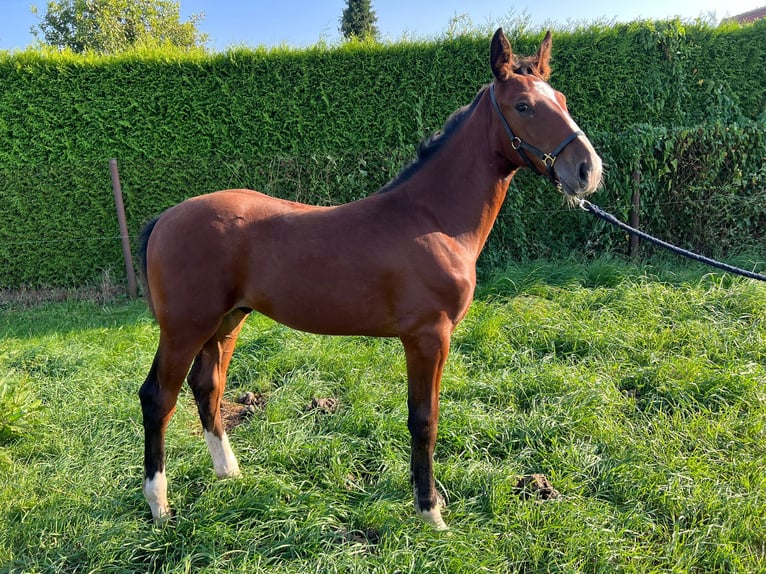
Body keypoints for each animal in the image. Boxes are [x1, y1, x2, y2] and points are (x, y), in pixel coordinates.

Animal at [140, 28, 608, 532]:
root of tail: (164, 218)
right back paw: (159, 506)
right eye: (523, 106)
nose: (587, 170)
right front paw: (430, 513)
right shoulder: (428, 337)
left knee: (207, 386)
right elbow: (424, 421)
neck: (432, 219)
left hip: (228, 321)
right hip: (185, 327)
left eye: (561, 99)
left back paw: (229, 473)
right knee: (158, 398)